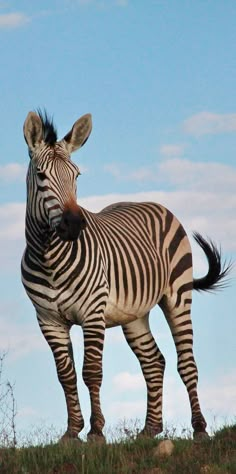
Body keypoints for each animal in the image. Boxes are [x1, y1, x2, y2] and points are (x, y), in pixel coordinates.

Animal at [21, 109, 230, 442]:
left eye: (77, 176)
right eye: (41, 176)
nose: (74, 224)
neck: (48, 256)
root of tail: (150, 203)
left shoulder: (92, 313)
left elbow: (91, 371)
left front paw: (96, 432)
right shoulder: (48, 320)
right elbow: (65, 375)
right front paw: (71, 432)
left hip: (178, 296)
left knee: (187, 363)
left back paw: (199, 429)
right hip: (134, 315)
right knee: (154, 362)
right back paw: (149, 429)